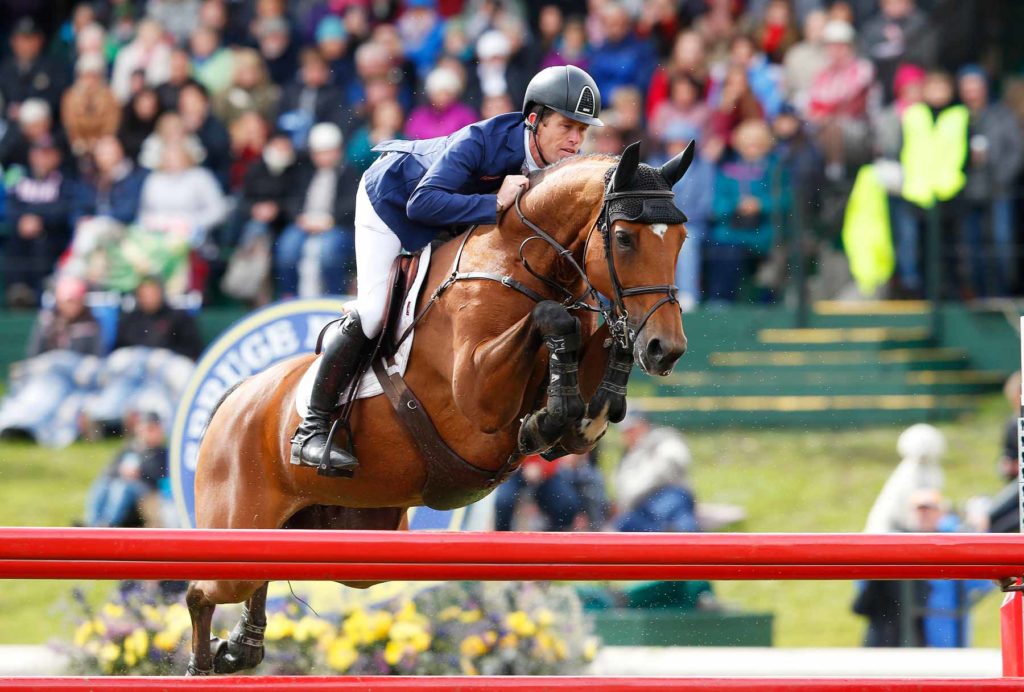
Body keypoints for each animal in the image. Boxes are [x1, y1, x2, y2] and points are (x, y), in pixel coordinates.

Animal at [186, 142, 696, 675]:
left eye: (681, 239)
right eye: (623, 238)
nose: (666, 349)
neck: (519, 259)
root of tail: (234, 400)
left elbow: (586, 374)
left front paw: (582, 396)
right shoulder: (477, 393)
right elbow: (553, 320)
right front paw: (544, 418)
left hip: (345, 534)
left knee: (260, 576)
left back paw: (241, 645)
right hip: (240, 521)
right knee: (202, 591)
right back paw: (204, 661)